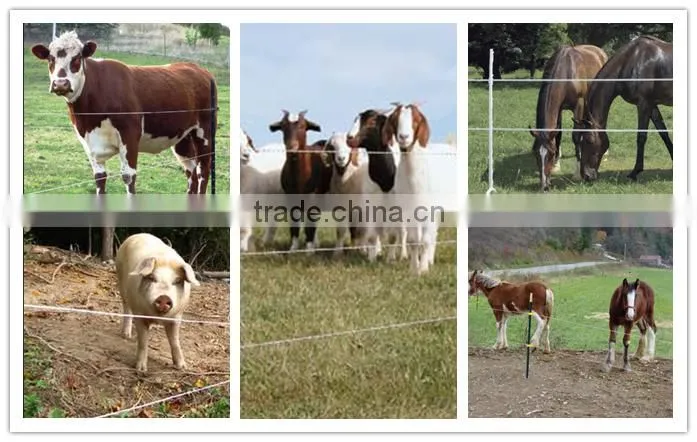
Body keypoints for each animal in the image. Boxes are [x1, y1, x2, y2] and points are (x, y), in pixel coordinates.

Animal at [529, 45, 608, 192]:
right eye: (535, 154)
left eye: (550, 154)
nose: (544, 186)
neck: (566, 71)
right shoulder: (559, 108)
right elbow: (558, 133)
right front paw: (556, 166)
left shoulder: (579, 105)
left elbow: (575, 136)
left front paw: (577, 173)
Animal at [574, 36, 673, 182]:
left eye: (588, 140)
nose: (586, 175)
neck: (633, 60)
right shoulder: (652, 105)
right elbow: (663, 132)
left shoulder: (643, 104)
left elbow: (641, 137)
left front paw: (635, 172)